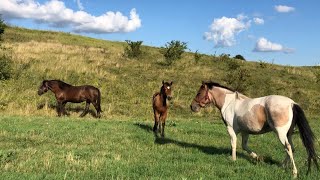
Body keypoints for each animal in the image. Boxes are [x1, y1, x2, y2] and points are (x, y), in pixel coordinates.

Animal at [190, 81, 318, 177]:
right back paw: (282, 166)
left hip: (280, 133)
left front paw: (233, 159)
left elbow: (233, 143)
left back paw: (294, 172)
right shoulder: (245, 132)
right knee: (291, 148)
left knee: (288, 148)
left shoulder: (231, 129)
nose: (192, 107)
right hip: (288, 134)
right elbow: (244, 146)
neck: (230, 103)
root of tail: (292, 103)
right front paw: (258, 158)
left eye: (199, 92)